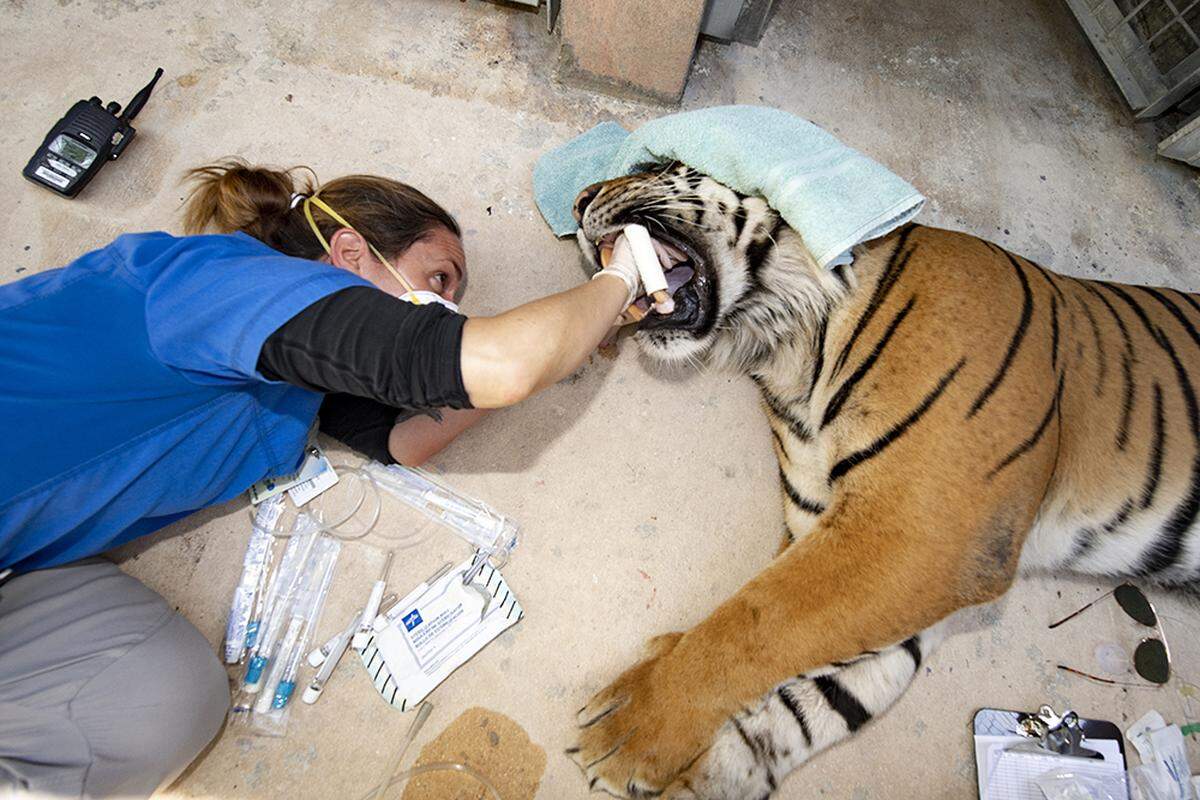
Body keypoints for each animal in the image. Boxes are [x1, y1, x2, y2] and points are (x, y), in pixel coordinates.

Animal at [564, 161, 1200, 799]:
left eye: (655, 168)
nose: (578, 200)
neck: (789, 352)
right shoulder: (846, 540)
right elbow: (807, 701)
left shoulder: (920, 533)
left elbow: (755, 622)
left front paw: (630, 723)